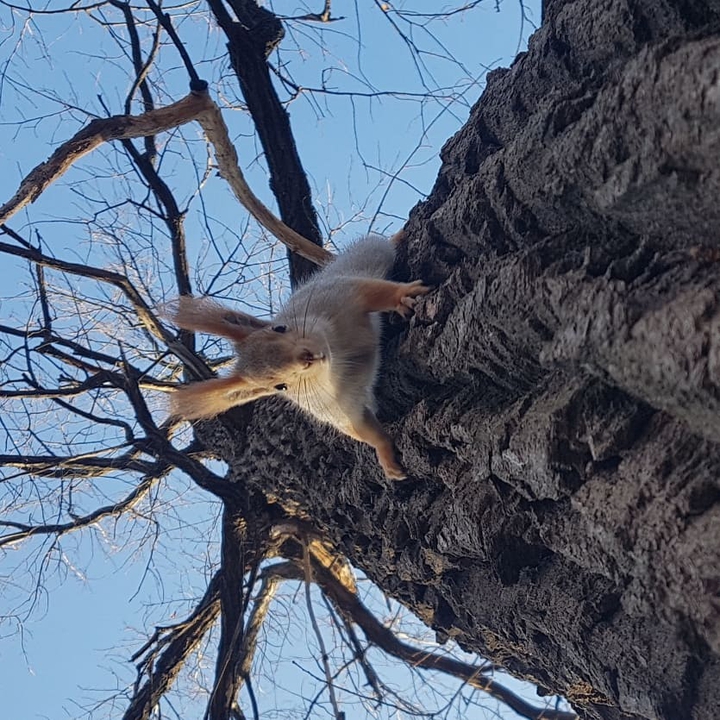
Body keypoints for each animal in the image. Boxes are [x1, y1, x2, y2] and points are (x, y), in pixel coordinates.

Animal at [166, 234, 429, 479]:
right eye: (280, 387)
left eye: (280, 328)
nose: (307, 358)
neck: (340, 357)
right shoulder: (340, 407)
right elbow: (361, 429)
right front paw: (386, 458)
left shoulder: (343, 296)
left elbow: (374, 292)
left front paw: (404, 295)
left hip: (361, 257)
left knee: (380, 245)